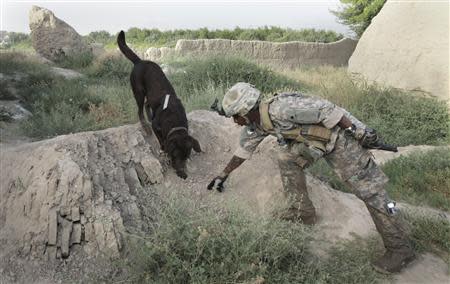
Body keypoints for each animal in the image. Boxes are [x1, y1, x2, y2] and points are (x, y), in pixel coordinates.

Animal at [118, 30, 200, 179]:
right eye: (175, 156)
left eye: (186, 157)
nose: (183, 175)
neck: (174, 119)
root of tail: (140, 61)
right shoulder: (157, 127)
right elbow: (161, 140)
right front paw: (162, 148)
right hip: (138, 91)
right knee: (140, 110)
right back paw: (145, 125)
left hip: (149, 95)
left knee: (147, 104)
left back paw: (149, 115)